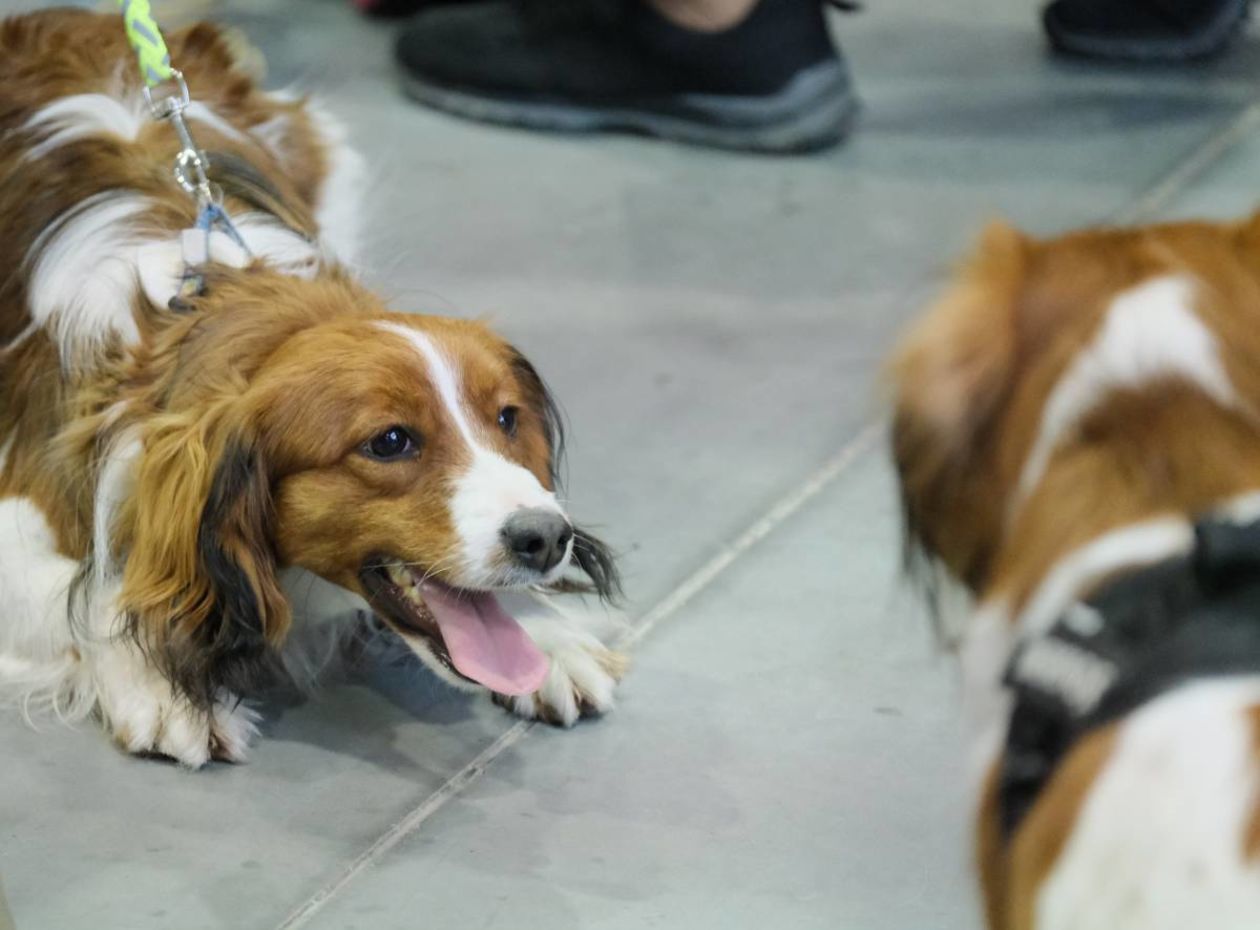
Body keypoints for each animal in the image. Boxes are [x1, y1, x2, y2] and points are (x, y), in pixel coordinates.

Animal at [0, 10, 624, 766]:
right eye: (390, 441)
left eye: (506, 419)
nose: (546, 538)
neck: (215, 305)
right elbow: (90, 593)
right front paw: (155, 681)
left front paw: (547, 632)